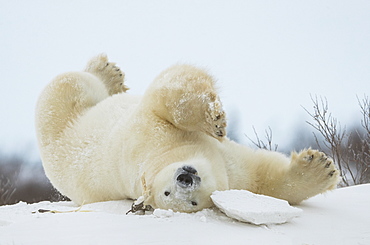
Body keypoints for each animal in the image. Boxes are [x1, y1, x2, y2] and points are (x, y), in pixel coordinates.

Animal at [36, 54, 340, 212]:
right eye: (168, 194)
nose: (185, 177)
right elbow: (265, 179)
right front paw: (322, 169)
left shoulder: (149, 133)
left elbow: (163, 99)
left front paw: (215, 120)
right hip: (57, 113)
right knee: (71, 83)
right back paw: (106, 72)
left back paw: (108, 74)